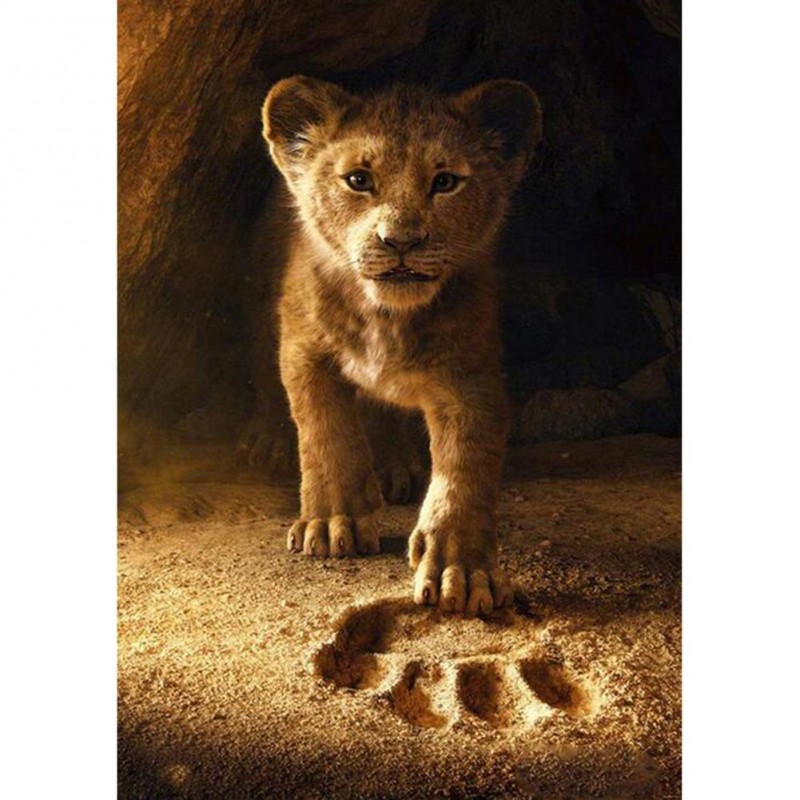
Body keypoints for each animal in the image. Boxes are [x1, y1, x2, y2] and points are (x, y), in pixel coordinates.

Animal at [258, 76, 542, 615]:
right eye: (358, 180)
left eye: (445, 181)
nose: (401, 241)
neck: (386, 316)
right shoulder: (304, 349)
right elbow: (326, 432)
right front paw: (333, 522)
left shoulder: (470, 377)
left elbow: (464, 467)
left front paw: (461, 569)